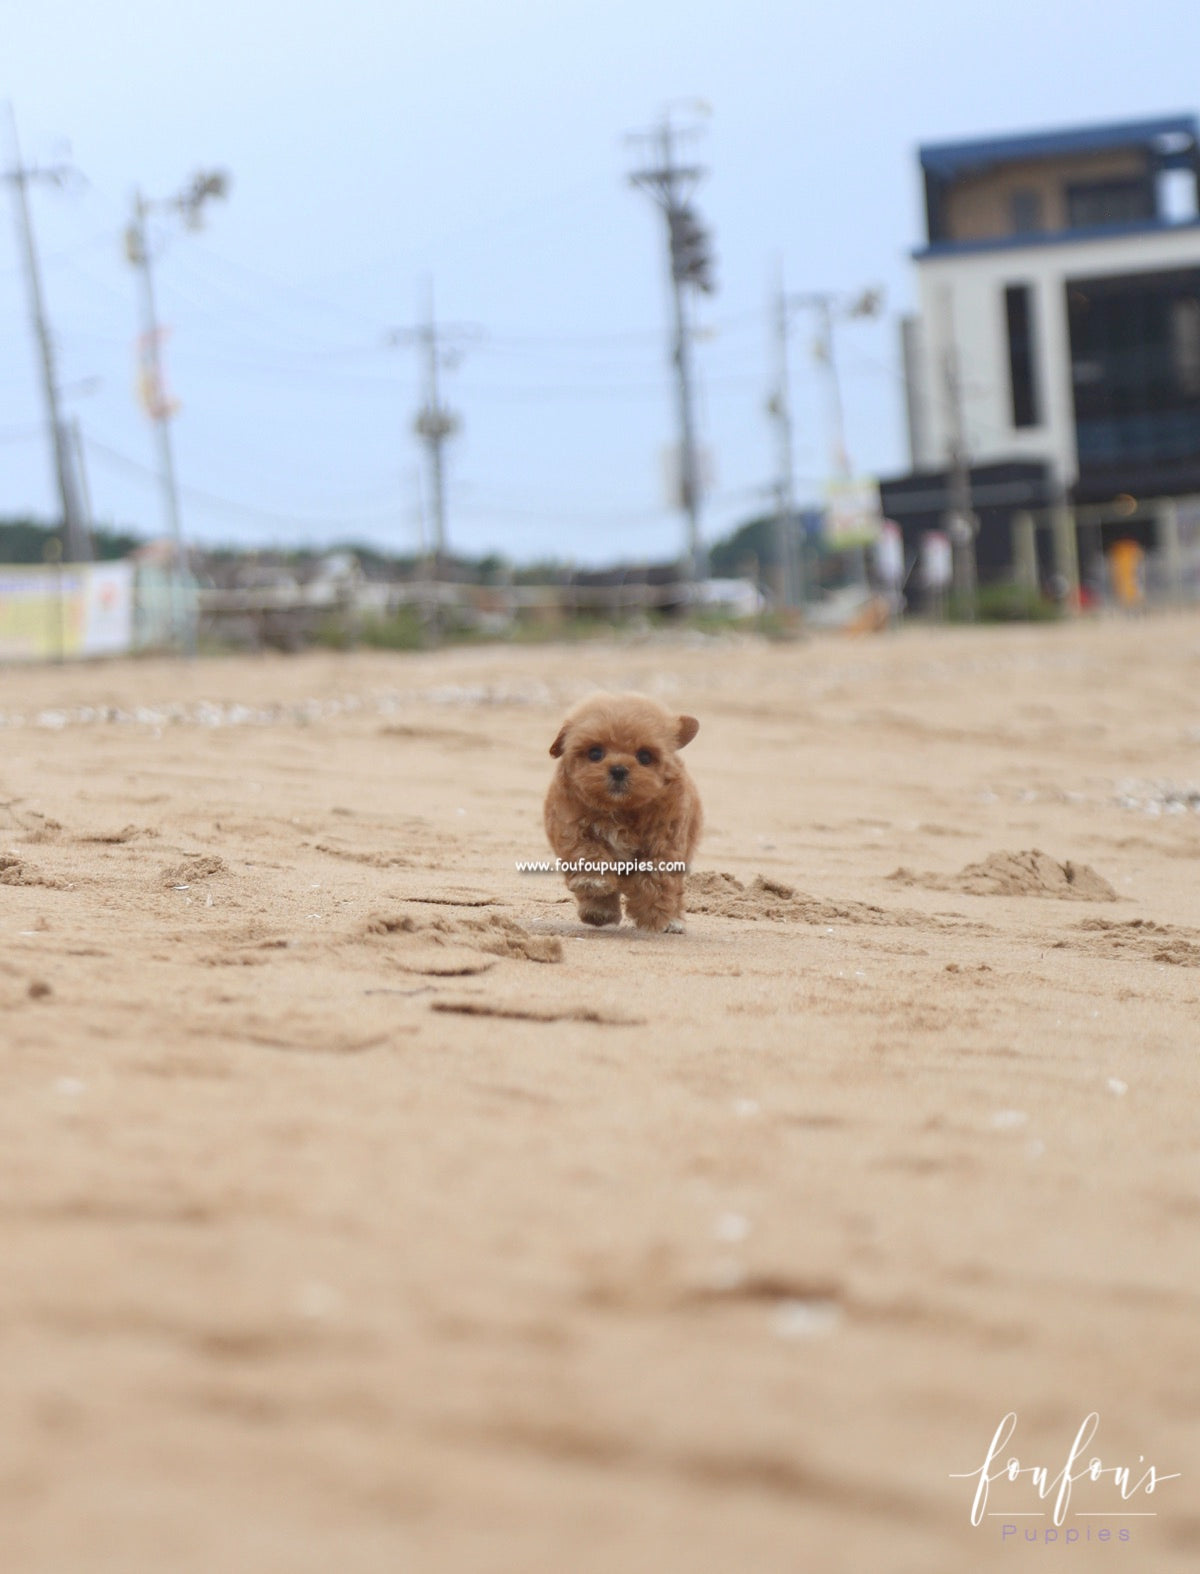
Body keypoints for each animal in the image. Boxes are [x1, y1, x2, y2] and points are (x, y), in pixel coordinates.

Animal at [544, 692, 702, 931]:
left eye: (645, 757)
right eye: (595, 753)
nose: (618, 769)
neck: (618, 809)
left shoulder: (665, 838)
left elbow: (656, 876)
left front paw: (654, 914)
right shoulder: (571, 824)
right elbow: (585, 851)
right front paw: (593, 883)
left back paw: (673, 921)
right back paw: (598, 912)